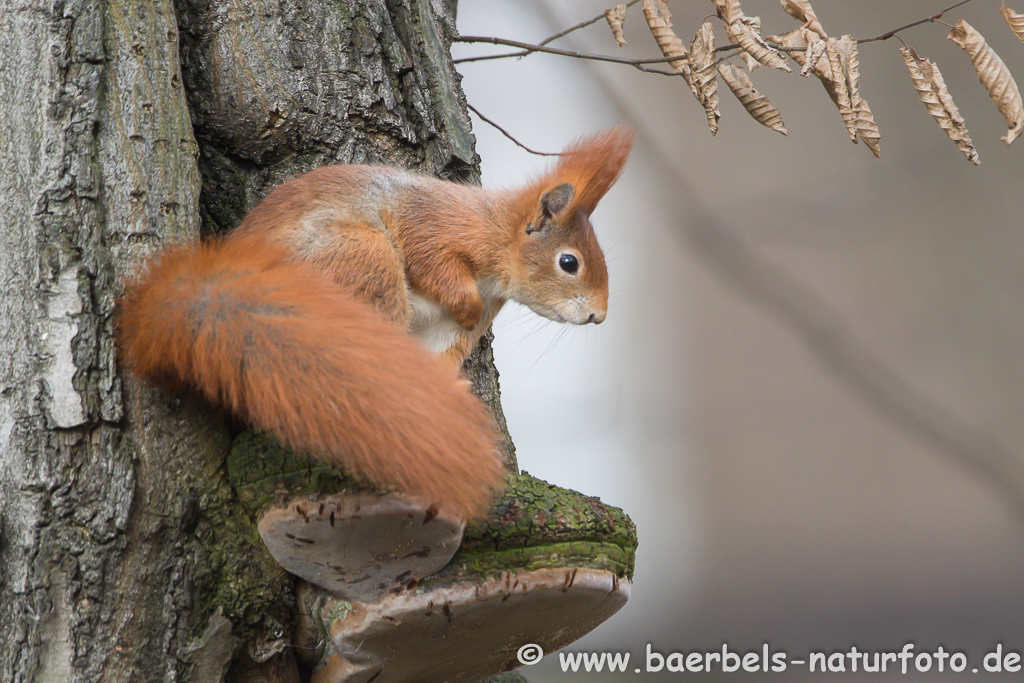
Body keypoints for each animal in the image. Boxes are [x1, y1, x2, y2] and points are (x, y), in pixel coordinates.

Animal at [117, 127, 630, 518]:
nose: (599, 316)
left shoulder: (454, 328)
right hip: (364, 255)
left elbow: (440, 350)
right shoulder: (434, 228)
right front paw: (460, 306)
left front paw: (441, 386)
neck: (495, 237)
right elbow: (432, 261)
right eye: (569, 263)